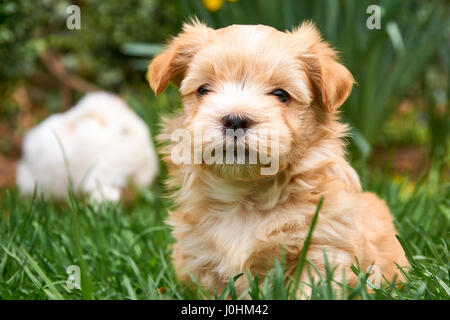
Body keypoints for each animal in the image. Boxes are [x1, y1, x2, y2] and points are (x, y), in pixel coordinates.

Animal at [147, 19, 408, 296]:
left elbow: (310, 289)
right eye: (204, 90)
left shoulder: (323, 247)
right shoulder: (201, 260)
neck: (244, 198)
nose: (235, 120)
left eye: (281, 95)